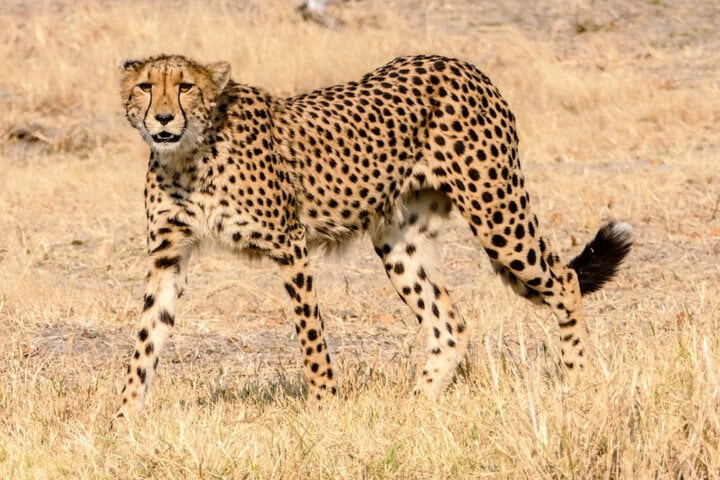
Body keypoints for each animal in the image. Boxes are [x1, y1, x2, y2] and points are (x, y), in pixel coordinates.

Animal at [116, 53, 632, 418]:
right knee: (449, 323)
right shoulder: (168, 257)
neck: (188, 155)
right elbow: (146, 340)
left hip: (496, 212)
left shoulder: (290, 246)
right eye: (146, 87)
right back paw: (415, 408)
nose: (163, 119)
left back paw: (576, 381)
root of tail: (458, 63)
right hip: (398, 242)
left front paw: (325, 409)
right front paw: (122, 421)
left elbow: (311, 337)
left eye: (185, 86)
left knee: (563, 279)